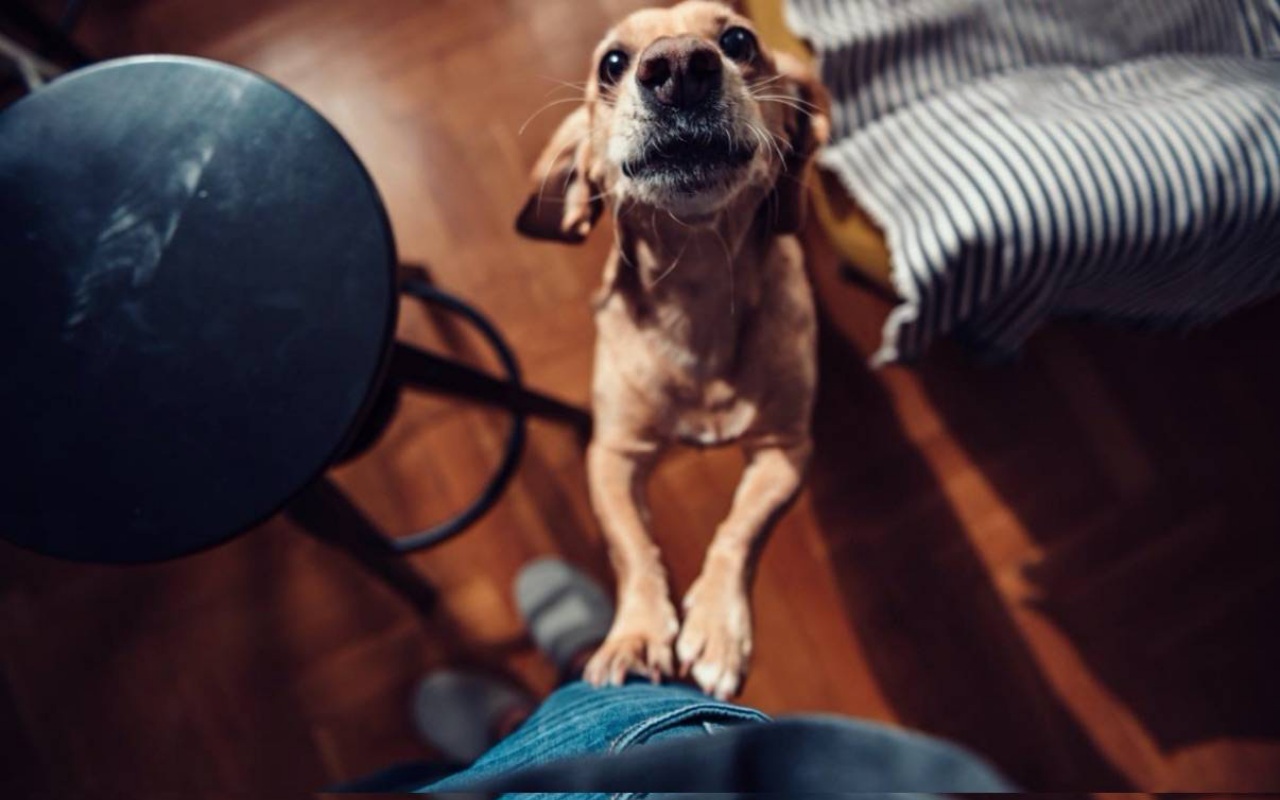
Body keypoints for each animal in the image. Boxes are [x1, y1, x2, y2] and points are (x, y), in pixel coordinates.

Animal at [517, 0, 829, 696]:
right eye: (612, 62)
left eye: (739, 41)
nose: (680, 67)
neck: (697, 292)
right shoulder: (612, 455)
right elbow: (632, 548)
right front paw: (634, 635)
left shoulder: (786, 451)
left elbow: (739, 529)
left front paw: (716, 627)